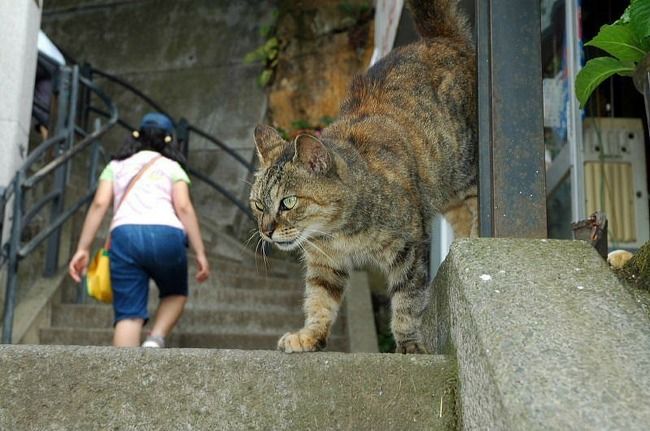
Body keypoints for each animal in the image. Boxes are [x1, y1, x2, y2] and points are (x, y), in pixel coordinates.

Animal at [248, 0, 476, 352]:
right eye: (258, 205)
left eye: (288, 202)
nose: (266, 231)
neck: (338, 233)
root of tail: (440, 39)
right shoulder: (325, 263)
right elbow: (318, 302)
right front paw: (309, 336)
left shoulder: (410, 248)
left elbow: (407, 301)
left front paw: (408, 342)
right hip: (445, 190)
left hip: (466, 171)